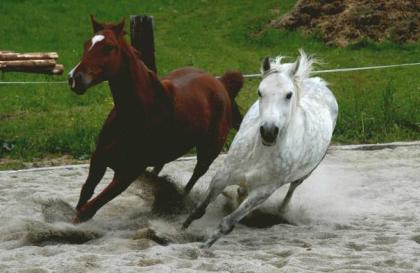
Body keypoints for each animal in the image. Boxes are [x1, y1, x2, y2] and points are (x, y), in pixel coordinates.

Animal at [67, 16, 244, 221]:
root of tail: (220, 83)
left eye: (108, 47)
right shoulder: (99, 159)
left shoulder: (127, 173)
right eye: (86, 44)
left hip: (208, 152)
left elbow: (88, 210)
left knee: (195, 175)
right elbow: (85, 194)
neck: (134, 116)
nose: (75, 78)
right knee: (159, 169)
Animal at [182, 50, 340, 248]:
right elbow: (200, 208)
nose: (269, 132)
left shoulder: (262, 192)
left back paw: (281, 211)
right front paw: (181, 228)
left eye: (289, 94)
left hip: (305, 174)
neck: (259, 154)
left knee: (292, 189)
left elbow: (228, 223)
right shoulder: (223, 175)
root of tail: (320, 83)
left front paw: (204, 247)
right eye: (260, 92)